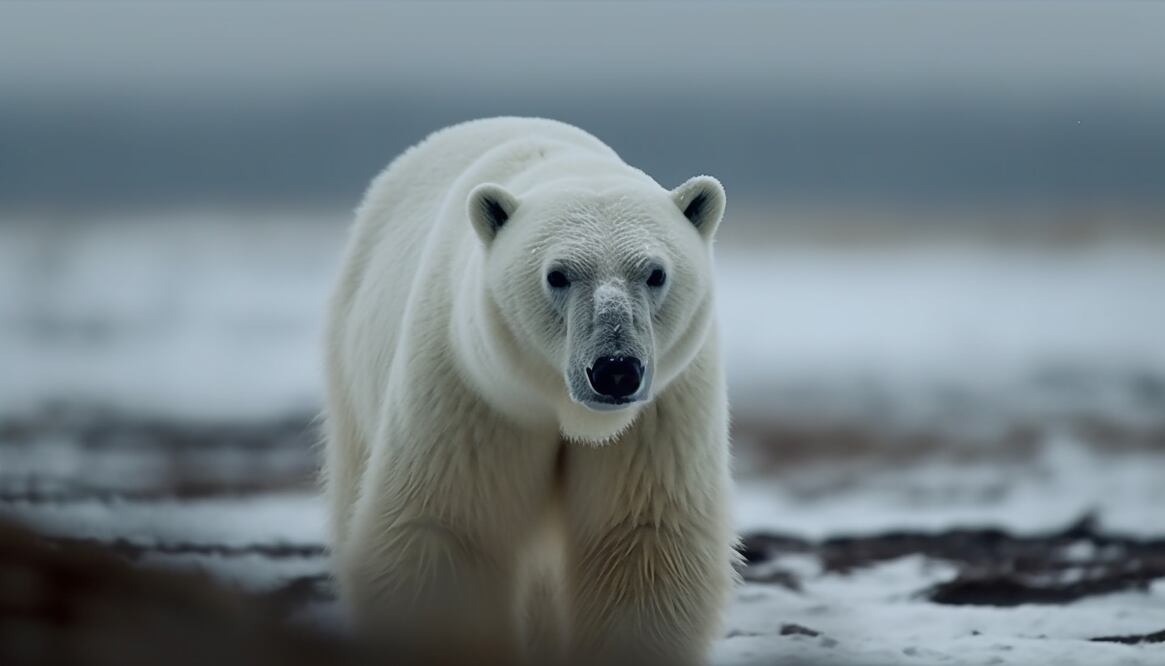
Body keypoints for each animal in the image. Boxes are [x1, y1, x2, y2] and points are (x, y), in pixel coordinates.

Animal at [322, 117, 736, 666]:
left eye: (655, 272)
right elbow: (445, 531)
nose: (615, 370)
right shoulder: (472, 393)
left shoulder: (660, 415)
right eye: (557, 275)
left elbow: (641, 541)